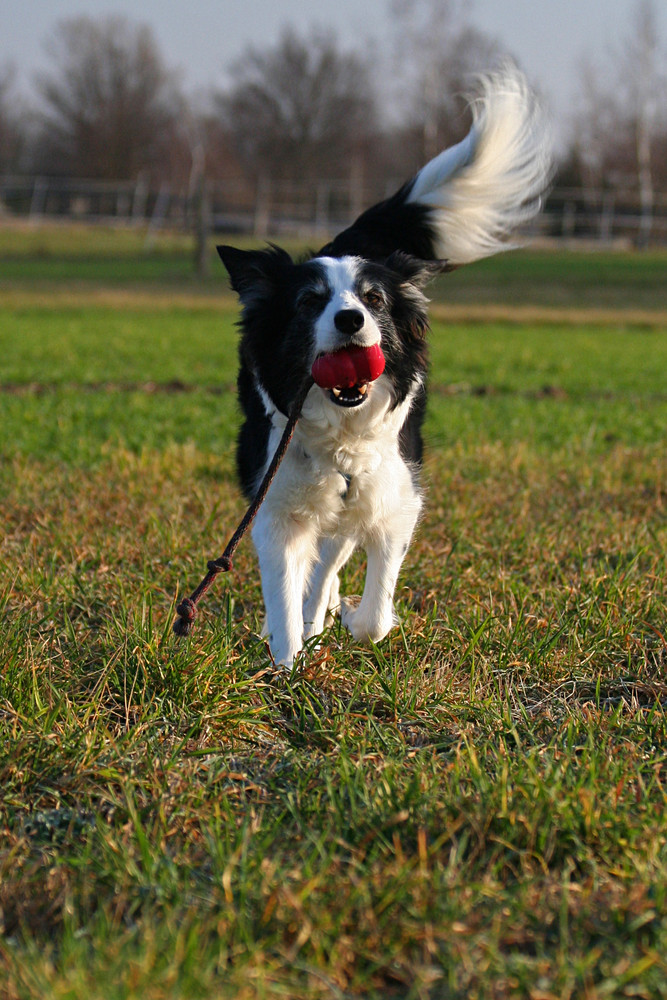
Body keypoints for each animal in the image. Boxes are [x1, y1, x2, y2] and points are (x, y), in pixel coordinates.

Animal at [219, 66, 552, 668]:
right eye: (309, 302)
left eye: (373, 299)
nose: (351, 319)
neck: (341, 435)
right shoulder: (276, 508)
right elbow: (282, 598)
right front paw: (287, 663)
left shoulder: (394, 499)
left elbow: (375, 612)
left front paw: (350, 619)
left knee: (332, 558)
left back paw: (327, 612)